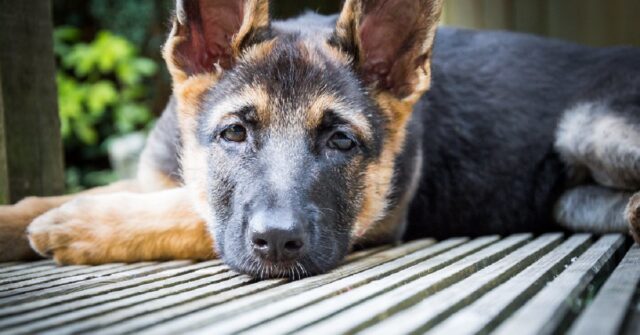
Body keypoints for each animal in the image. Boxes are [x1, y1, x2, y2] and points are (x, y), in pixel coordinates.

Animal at [1, 0, 640, 280]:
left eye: (341, 143)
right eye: (234, 133)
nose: (281, 244)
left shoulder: (377, 221)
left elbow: (186, 214)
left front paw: (81, 226)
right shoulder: (157, 178)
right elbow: (72, 197)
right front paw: (24, 217)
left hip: (589, 127)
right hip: (571, 196)